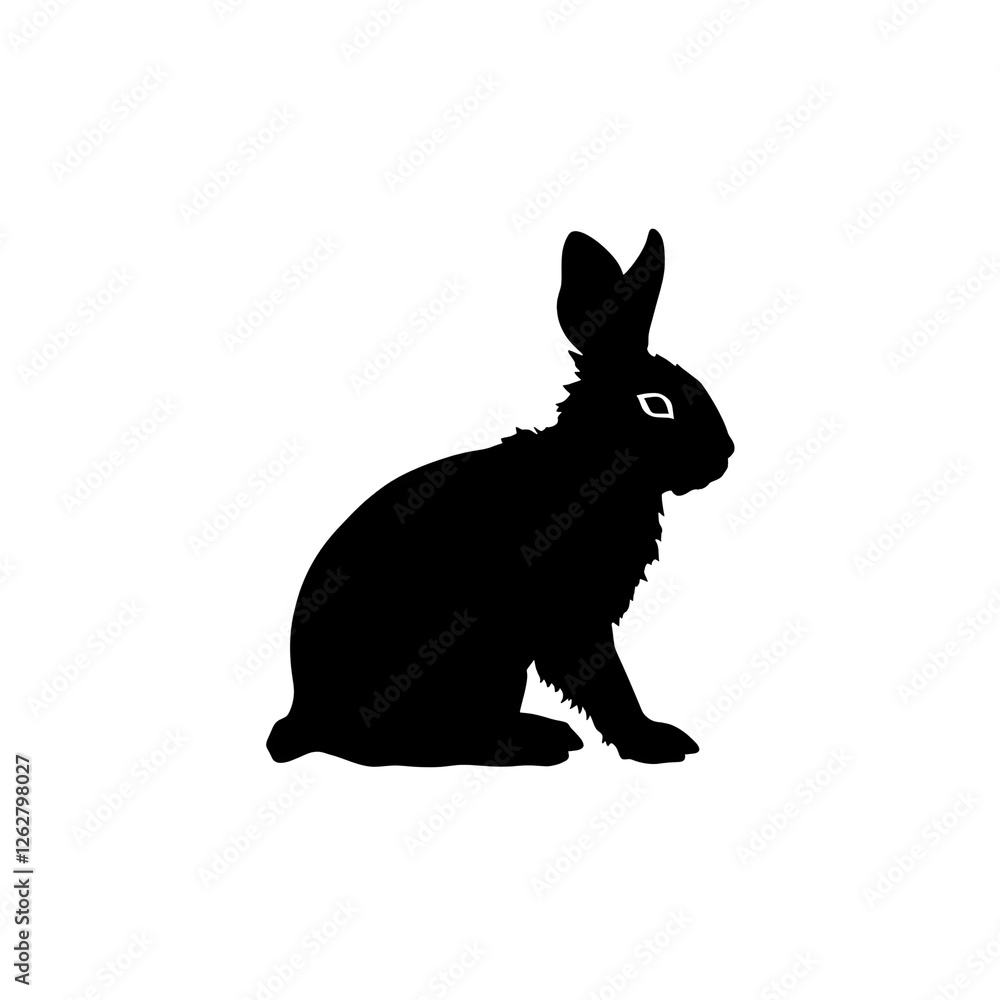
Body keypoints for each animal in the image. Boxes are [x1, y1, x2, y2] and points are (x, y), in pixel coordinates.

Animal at [267, 229, 734, 767]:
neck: (591, 466)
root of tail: (304, 719)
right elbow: (603, 681)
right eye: (656, 405)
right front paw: (654, 743)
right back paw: (538, 743)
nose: (725, 454)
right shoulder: (570, 618)